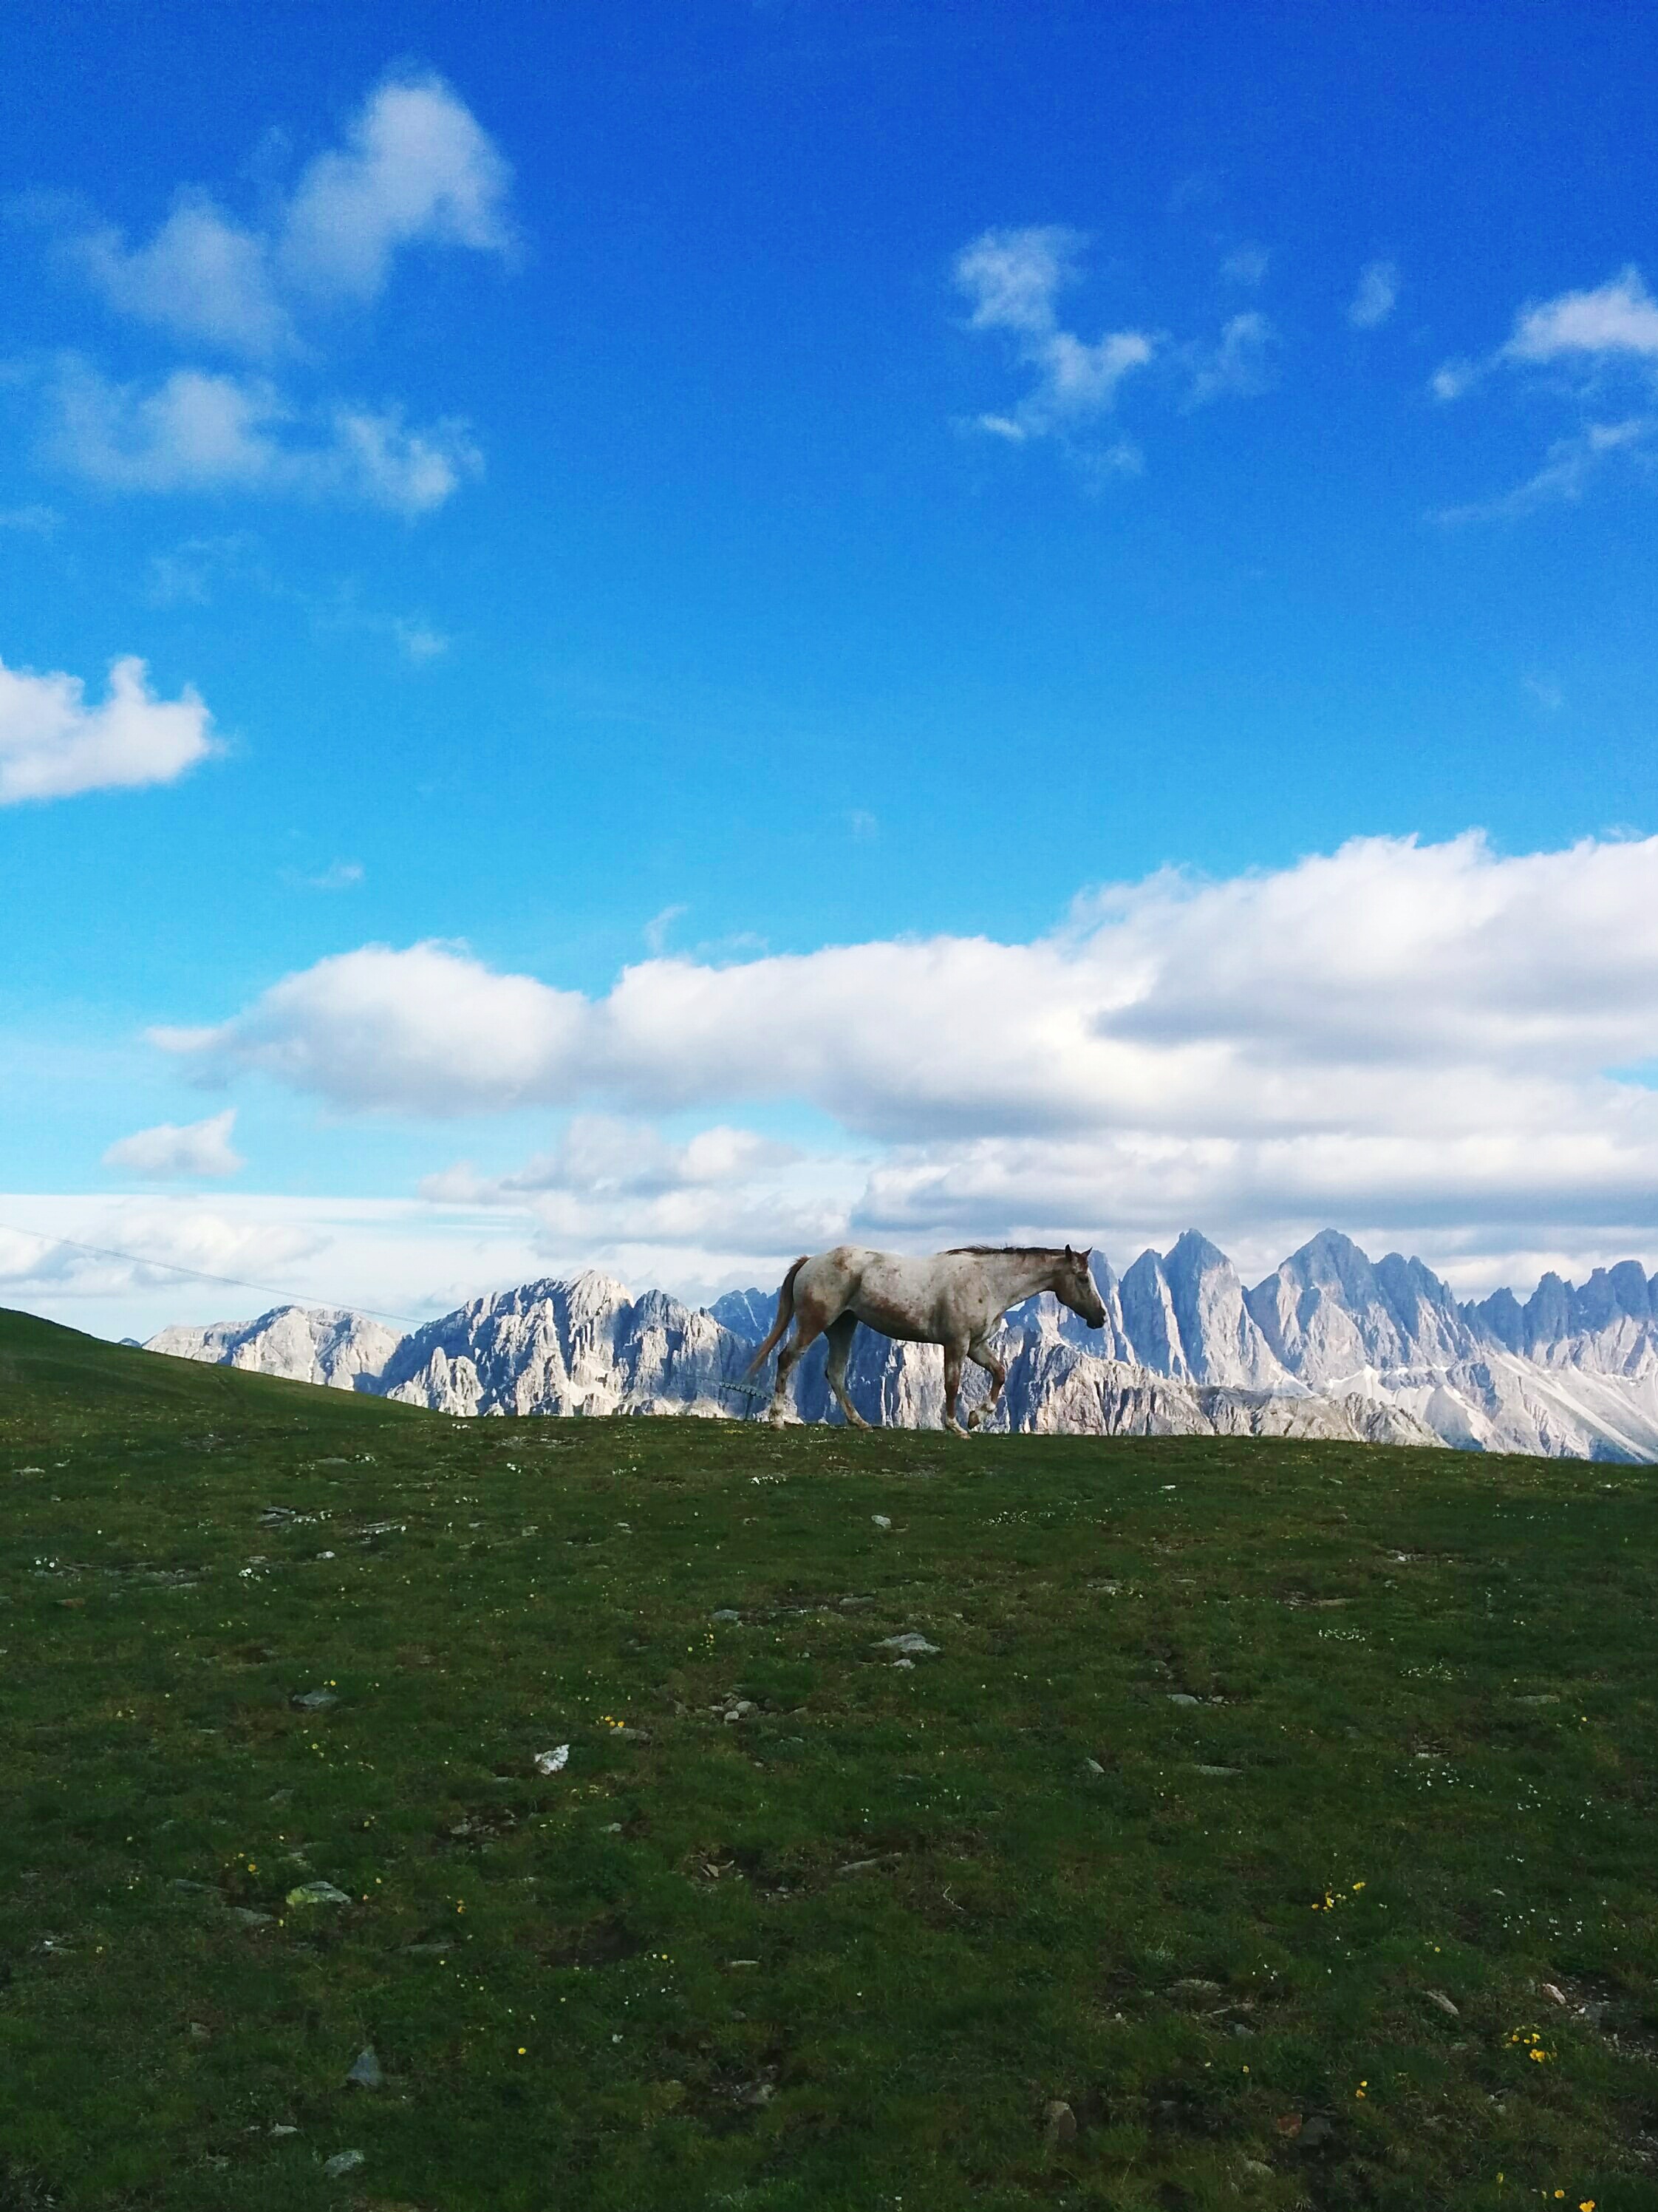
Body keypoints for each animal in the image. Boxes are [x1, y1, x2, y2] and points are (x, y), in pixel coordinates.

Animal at [745, 1243, 1108, 1437]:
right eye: (1082, 1278)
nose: (1101, 1317)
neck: (987, 1281)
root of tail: (811, 1261)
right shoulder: (957, 1344)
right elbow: (952, 1384)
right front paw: (956, 1425)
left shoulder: (976, 1346)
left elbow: (1000, 1373)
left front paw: (977, 1416)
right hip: (815, 1323)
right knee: (787, 1359)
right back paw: (777, 1420)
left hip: (843, 1326)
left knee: (834, 1373)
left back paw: (860, 1423)